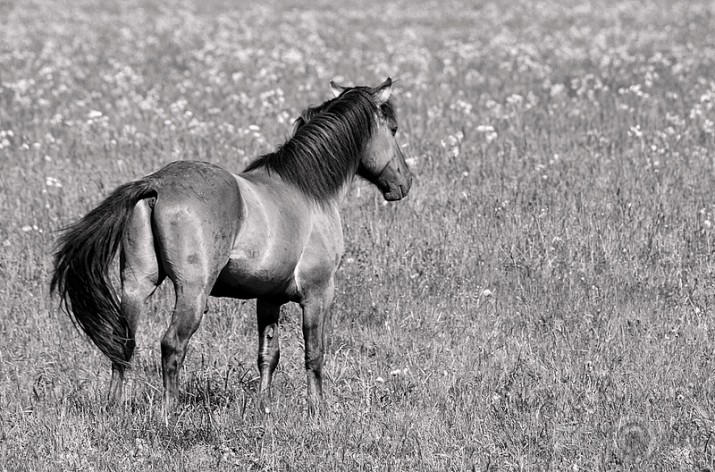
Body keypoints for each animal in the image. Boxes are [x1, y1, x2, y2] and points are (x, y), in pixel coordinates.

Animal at [50, 76, 414, 412]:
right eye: (393, 129)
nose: (404, 182)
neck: (307, 190)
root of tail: (157, 184)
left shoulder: (269, 298)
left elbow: (268, 354)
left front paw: (264, 407)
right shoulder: (318, 292)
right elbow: (314, 354)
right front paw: (318, 410)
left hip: (136, 284)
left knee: (123, 342)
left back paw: (115, 406)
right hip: (193, 292)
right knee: (172, 345)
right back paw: (169, 412)